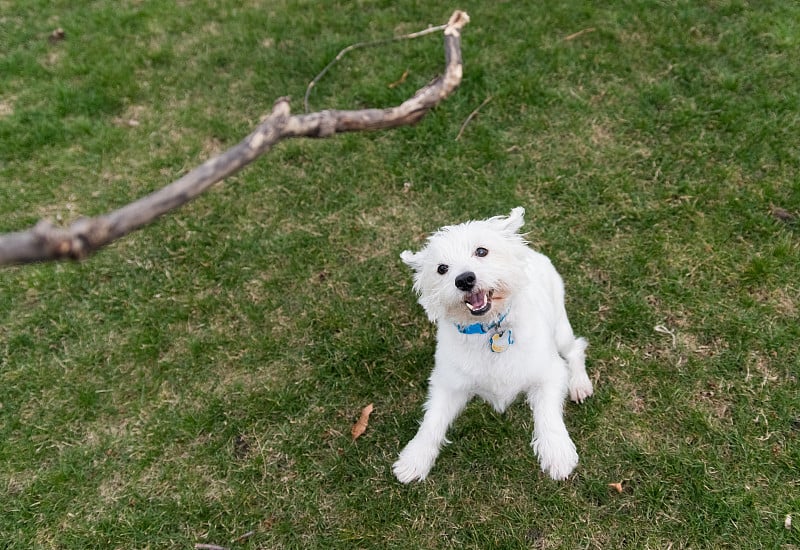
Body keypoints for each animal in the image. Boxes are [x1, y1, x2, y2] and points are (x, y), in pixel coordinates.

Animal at [394, 207, 592, 484]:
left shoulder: (549, 373)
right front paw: (414, 459)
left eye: (481, 251)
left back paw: (579, 384)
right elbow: (431, 421)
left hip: (560, 329)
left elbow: (548, 415)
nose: (464, 279)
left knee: (576, 349)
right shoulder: (447, 384)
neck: (487, 330)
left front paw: (557, 453)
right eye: (442, 268)